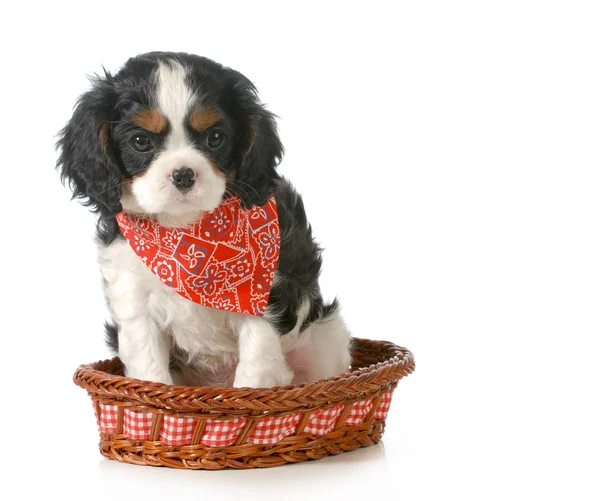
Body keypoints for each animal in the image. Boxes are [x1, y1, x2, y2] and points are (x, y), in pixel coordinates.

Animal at [56, 51, 352, 386]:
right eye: (141, 141)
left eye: (215, 138)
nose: (183, 174)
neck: (190, 235)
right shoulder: (135, 304)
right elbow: (150, 370)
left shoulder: (264, 303)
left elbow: (254, 371)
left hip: (324, 339)